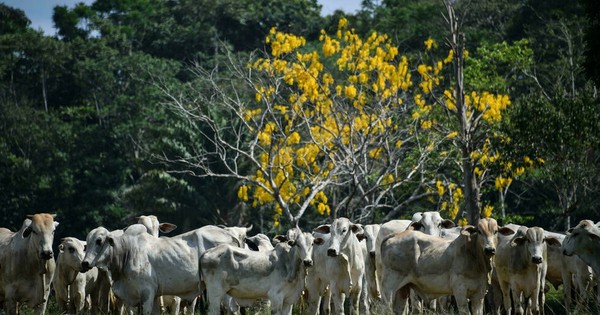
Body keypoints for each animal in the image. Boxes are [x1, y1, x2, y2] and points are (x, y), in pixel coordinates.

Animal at [382, 218, 512, 314]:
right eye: (479, 231)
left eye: (495, 231)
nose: (489, 249)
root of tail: (395, 235)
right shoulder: (460, 291)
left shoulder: (479, 294)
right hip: (389, 287)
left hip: (403, 289)